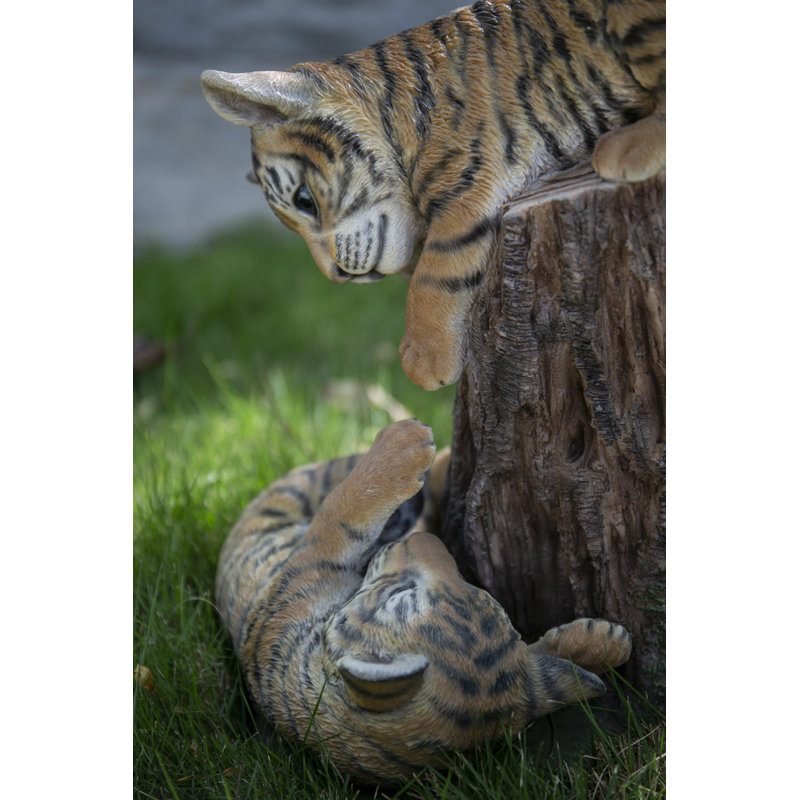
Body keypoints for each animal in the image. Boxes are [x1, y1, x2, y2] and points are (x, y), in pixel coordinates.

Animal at [201, 0, 666, 390]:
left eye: (304, 200)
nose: (336, 275)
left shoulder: (469, 176)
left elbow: (436, 272)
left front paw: (424, 360)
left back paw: (625, 148)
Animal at [217, 418, 632, 783]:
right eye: (402, 593)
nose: (428, 539)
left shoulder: (308, 568)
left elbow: (336, 515)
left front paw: (601, 643)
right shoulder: (300, 579)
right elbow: (340, 514)